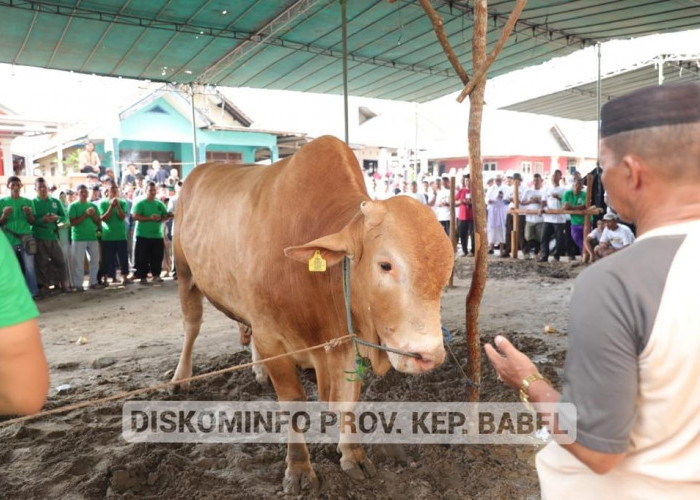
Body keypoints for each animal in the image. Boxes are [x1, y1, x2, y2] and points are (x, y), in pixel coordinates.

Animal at [170, 135, 454, 494]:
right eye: (386, 265)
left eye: (447, 269)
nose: (429, 356)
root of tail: (200, 171)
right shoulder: (272, 338)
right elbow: (293, 402)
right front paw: (299, 468)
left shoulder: (347, 341)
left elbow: (348, 401)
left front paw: (353, 455)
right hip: (184, 272)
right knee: (191, 325)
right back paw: (181, 377)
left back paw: (257, 370)